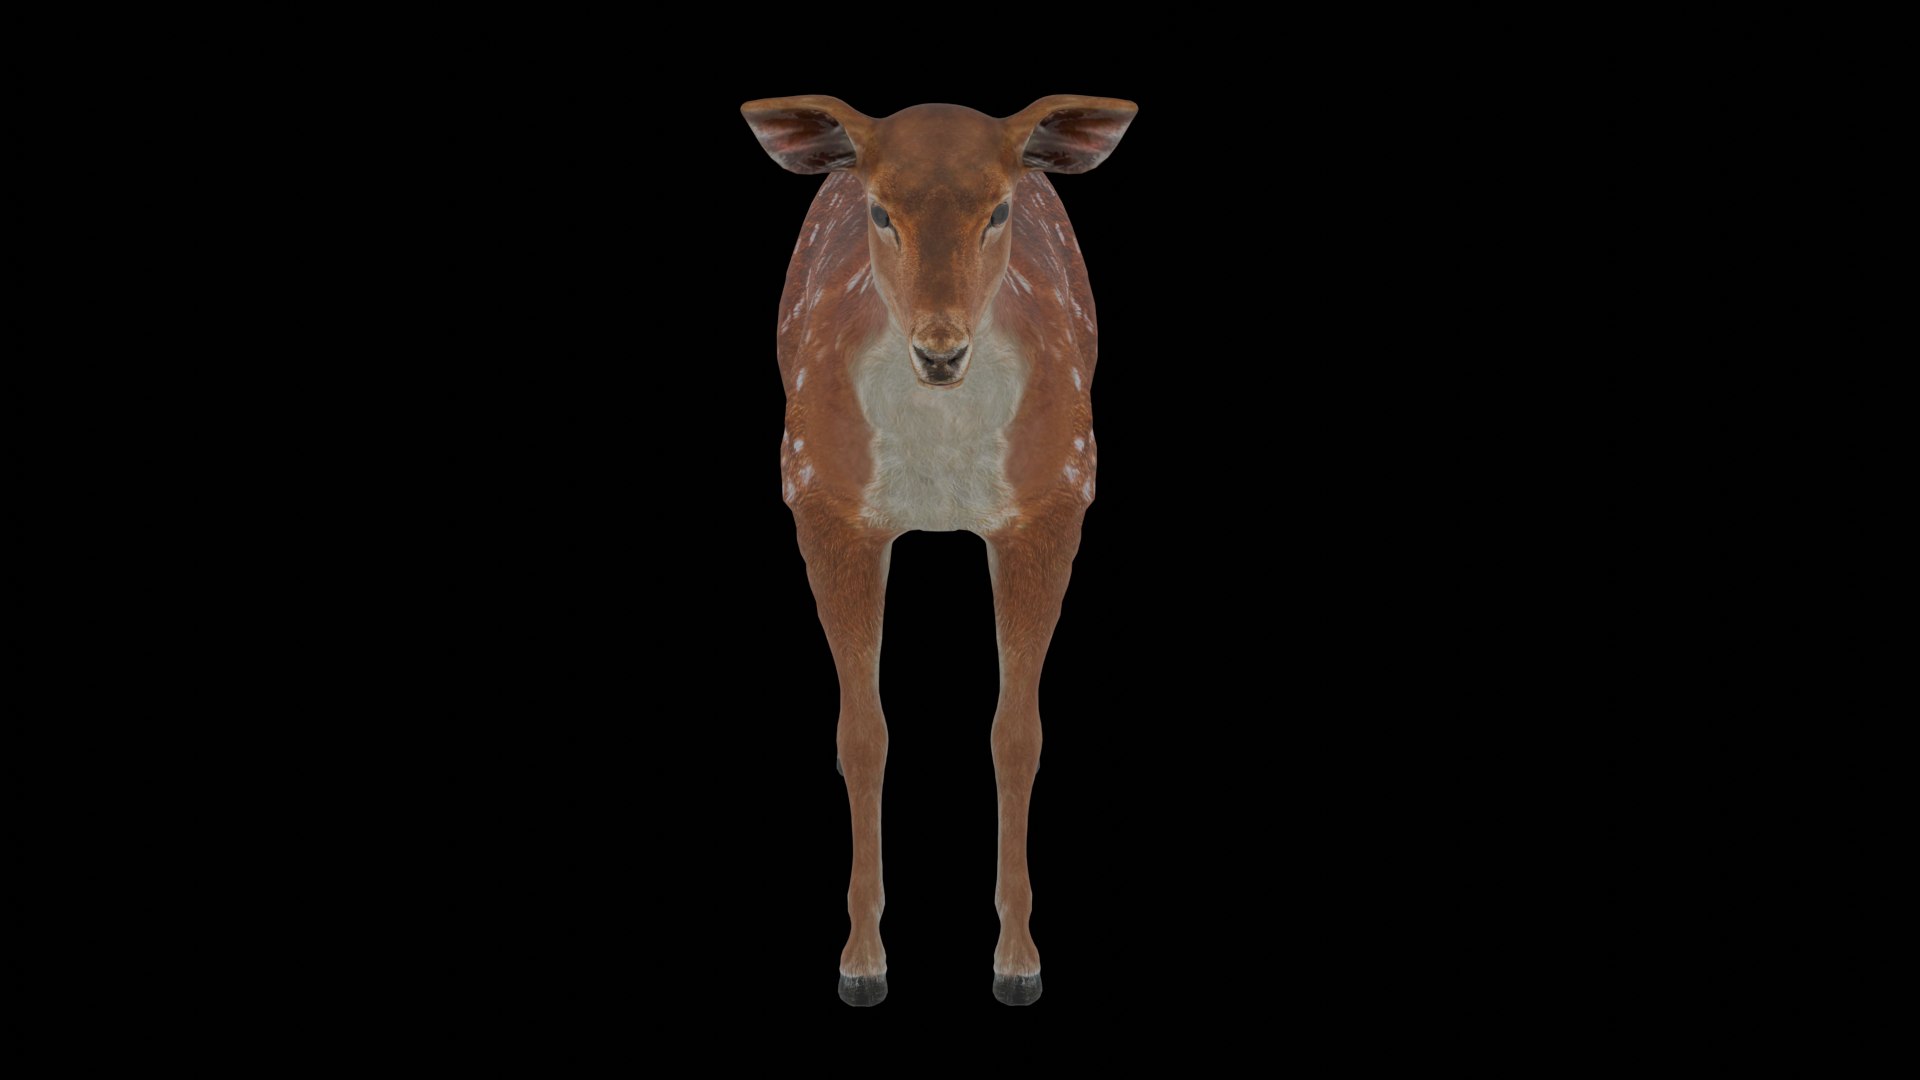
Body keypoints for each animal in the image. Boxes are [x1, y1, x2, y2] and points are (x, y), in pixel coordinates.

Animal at [741, 94, 1136, 1006]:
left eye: (999, 209)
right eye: (881, 210)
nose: (940, 348)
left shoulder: (1057, 495)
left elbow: (1017, 735)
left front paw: (1019, 962)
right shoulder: (820, 496)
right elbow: (863, 735)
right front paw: (860, 963)